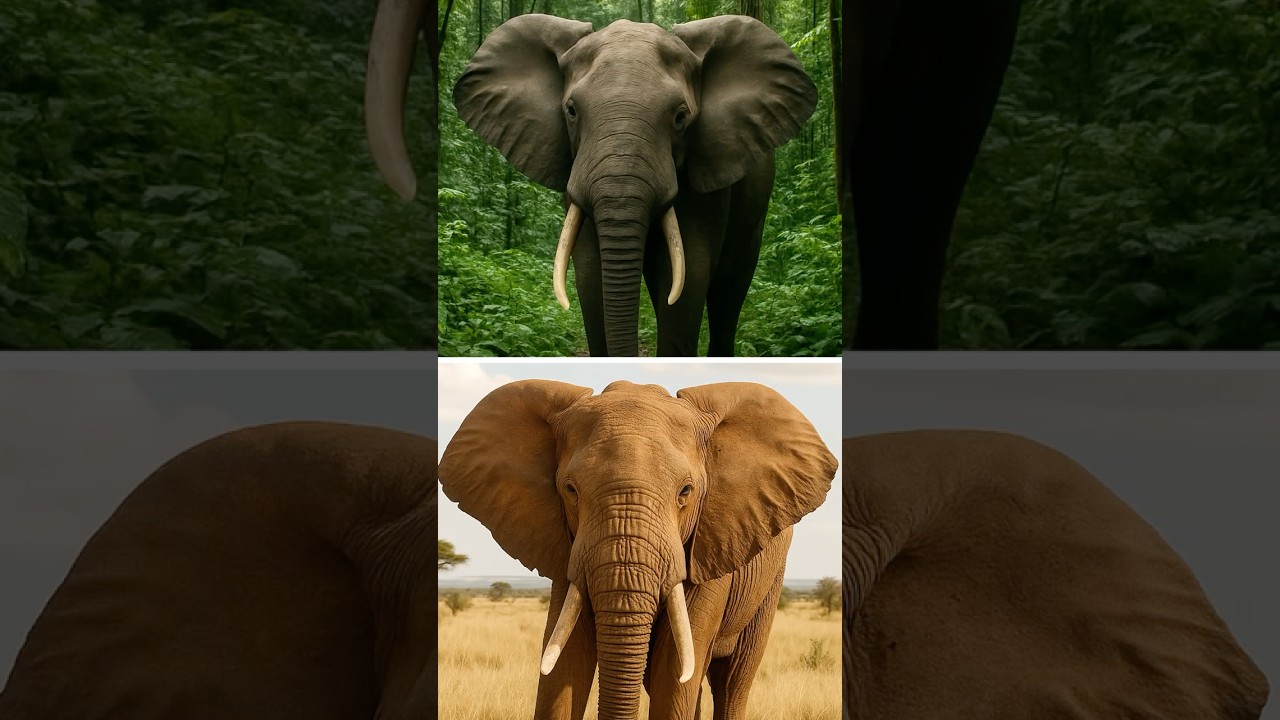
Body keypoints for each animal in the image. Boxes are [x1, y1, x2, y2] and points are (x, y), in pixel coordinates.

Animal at [438, 380, 838, 719]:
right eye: (570, 490)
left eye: (686, 492)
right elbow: (566, 660)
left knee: (732, 678)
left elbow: (672, 669)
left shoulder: (710, 544)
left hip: (768, 583)